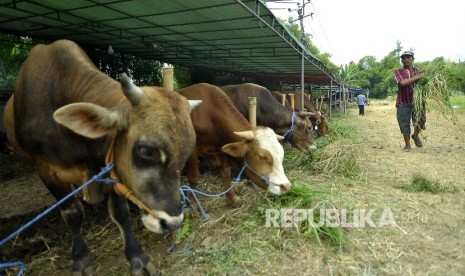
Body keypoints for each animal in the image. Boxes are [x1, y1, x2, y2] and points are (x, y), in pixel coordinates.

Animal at [4, 39, 199, 276]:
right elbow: (72, 214)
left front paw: (138, 258)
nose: (172, 223)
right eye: (145, 150)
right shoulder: (47, 171)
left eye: (186, 153)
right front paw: (80, 260)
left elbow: (121, 213)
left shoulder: (111, 169)